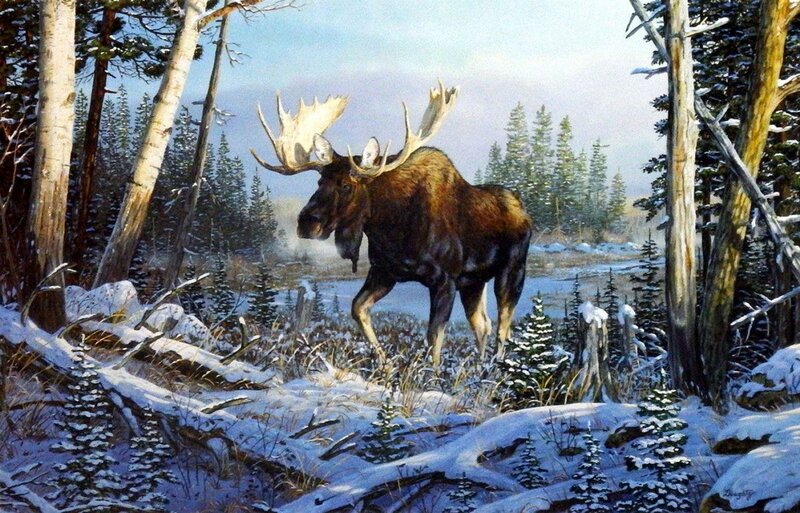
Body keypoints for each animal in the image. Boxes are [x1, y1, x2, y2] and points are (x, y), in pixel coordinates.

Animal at [250, 82, 532, 366]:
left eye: (346, 185)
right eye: (320, 182)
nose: (306, 222)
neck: (391, 227)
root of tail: (522, 207)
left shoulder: (446, 279)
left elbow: (434, 337)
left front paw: (430, 374)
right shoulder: (384, 272)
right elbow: (358, 309)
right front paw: (385, 364)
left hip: (512, 270)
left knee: (503, 326)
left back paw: (495, 368)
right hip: (474, 280)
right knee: (482, 324)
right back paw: (479, 366)